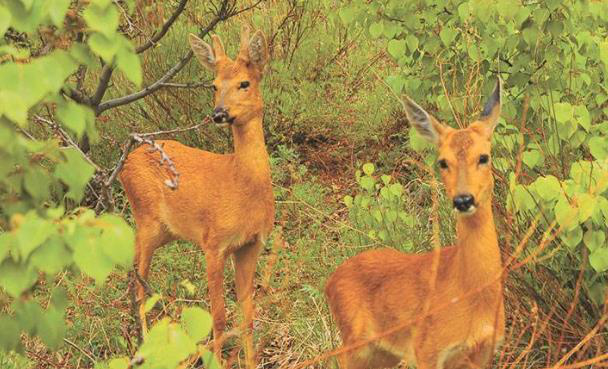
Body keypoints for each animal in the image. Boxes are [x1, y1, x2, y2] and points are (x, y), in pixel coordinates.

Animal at [121, 24, 274, 366]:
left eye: (245, 83)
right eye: (214, 85)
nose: (219, 113)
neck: (242, 186)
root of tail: (126, 161)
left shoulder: (251, 245)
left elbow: (248, 316)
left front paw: (251, 362)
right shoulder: (213, 243)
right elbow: (218, 316)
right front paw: (215, 360)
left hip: (164, 231)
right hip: (145, 218)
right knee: (137, 283)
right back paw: (144, 346)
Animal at [326, 80, 506, 368]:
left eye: (484, 157)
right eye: (443, 161)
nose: (463, 199)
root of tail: (329, 283)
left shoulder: (485, 351)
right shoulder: (426, 349)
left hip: (382, 353)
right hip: (354, 347)